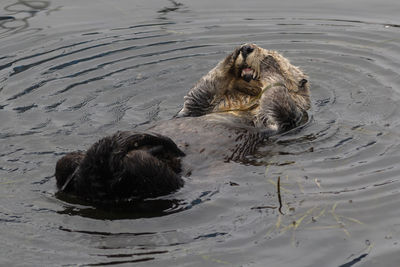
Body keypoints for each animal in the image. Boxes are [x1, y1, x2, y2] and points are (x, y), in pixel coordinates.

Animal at [54, 43, 310, 204]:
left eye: (276, 56)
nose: (248, 49)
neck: (244, 101)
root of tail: (92, 184)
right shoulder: (195, 109)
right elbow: (201, 91)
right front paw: (232, 57)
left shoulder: (288, 117)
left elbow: (278, 99)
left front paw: (268, 63)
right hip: (72, 162)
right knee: (66, 165)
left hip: (152, 178)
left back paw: (156, 147)